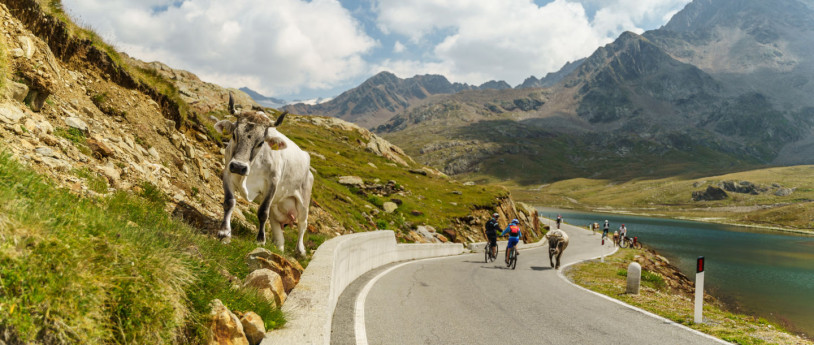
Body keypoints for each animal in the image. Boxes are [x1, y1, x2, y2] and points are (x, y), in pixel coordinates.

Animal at [215, 94, 314, 255]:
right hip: (278, 204)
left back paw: (300, 251)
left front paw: (260, 240)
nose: (239, 166)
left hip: (303, 201)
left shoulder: (272, 184)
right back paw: (278, 247)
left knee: (302, 224)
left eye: (261, 143)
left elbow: (262, 212)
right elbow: (229, 202)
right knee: (276, 223)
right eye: (234, 135)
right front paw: (224, 233)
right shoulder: (228, 174)